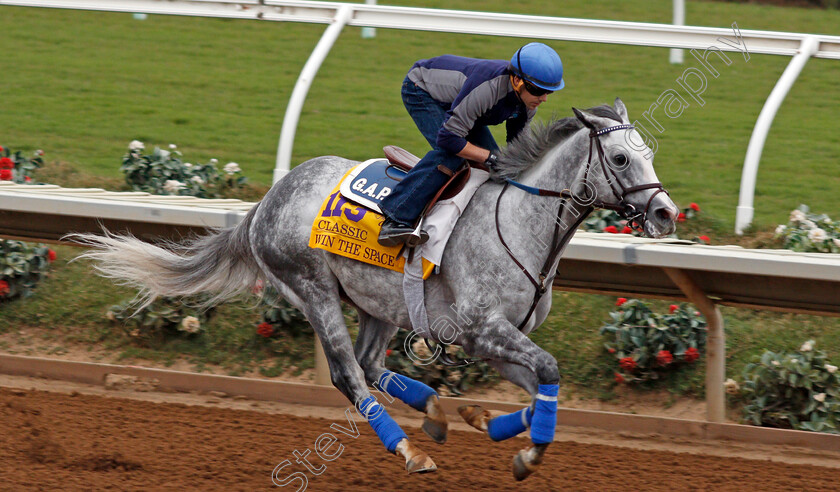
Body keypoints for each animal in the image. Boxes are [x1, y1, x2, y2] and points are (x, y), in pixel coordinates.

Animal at [70, 99, 676, 480]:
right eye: (621, 158)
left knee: (369, 363)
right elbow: (548, 371)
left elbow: (541, 388)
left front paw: (492, 425)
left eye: (650, 153)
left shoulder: (492, 339)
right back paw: (410, 451)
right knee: (348, 373)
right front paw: (522, 452)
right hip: (312, 289)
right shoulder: (484, 329)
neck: (521, 222)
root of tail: (266, 202)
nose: (665, 213)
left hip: (379, 303)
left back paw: (435, 411)